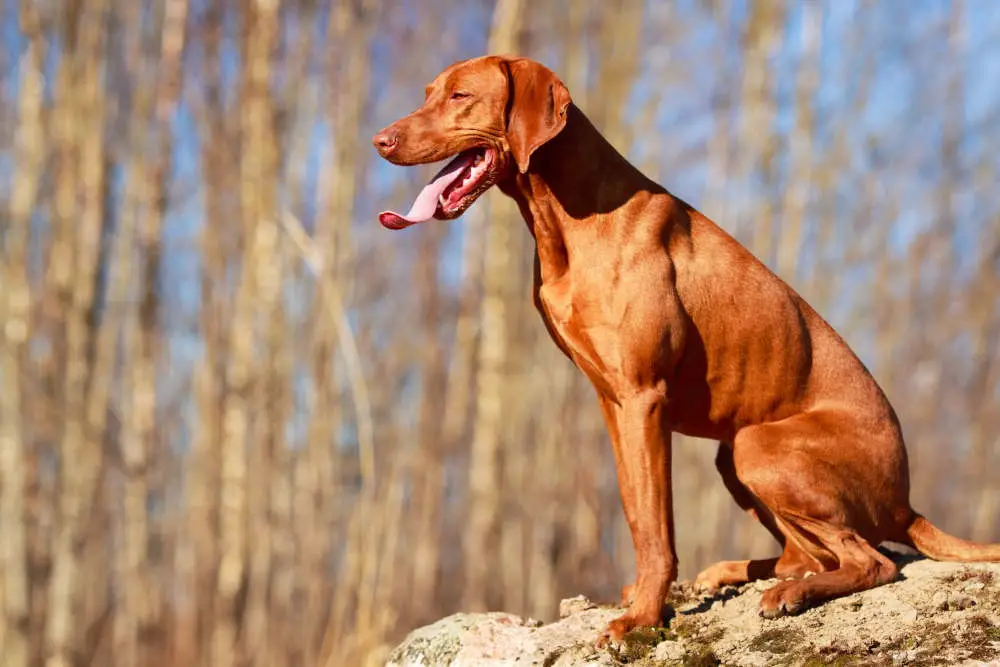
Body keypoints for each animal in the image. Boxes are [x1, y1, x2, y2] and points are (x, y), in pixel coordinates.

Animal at [370, 56, 1000, 640]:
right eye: (428, 92)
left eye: (460, 96)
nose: (381, 140)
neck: (569, 219)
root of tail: (906, 502)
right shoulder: (614, 404)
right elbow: (636, 511)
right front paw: (647, 596)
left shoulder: (644, 397)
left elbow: (656, 527)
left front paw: (643, 617)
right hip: (735, 456)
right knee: (810, 554)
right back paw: (744, 573)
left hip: (757, 446)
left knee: (872, 561)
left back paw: (793, 593)